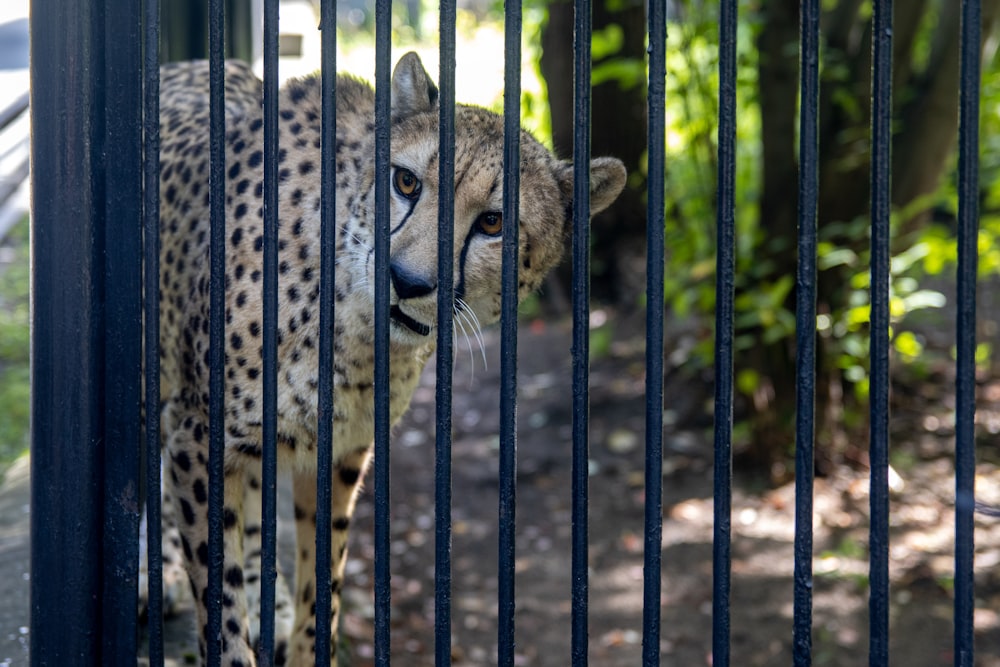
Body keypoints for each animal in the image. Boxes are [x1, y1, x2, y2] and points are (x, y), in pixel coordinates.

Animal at [154, 53, 624, 667]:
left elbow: (322, 585)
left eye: (493, 222)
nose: (406, 281)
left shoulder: (339, 450)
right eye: (406, 182)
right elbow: (220, 606)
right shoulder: (199, 435)